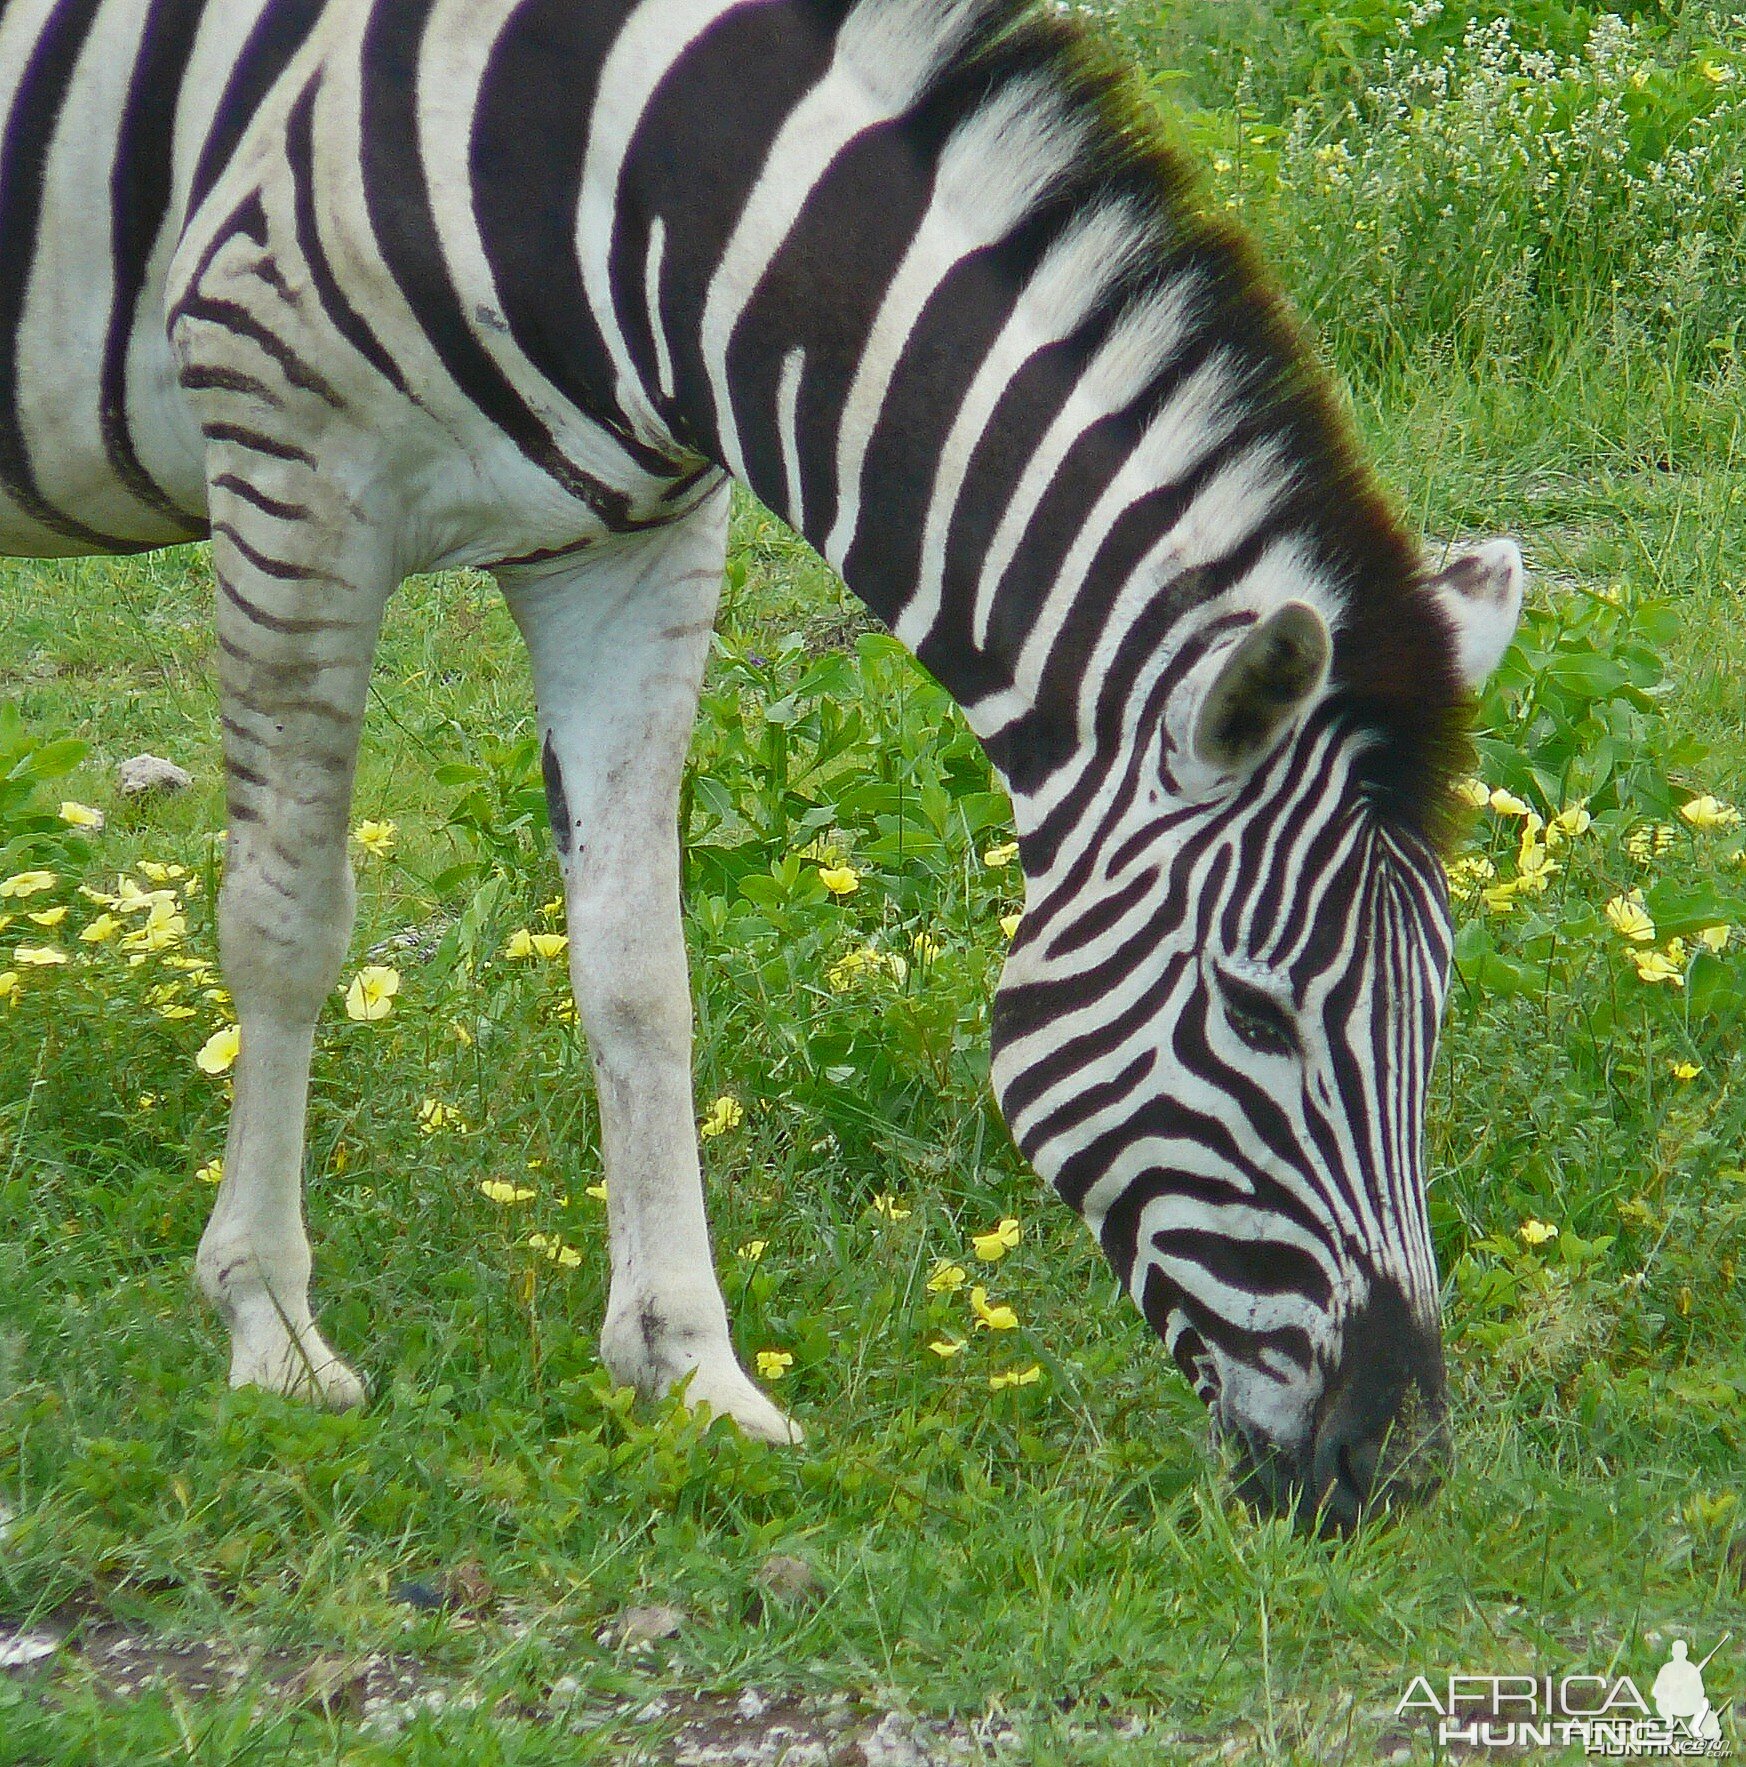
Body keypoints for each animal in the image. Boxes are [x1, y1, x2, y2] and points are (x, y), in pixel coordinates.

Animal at [0, 0, 1526, 1526]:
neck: (635, 177)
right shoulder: (296, 459)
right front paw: (267, 1324)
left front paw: (689, 1368)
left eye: (1437, 1013)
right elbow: (287, 925)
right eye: (1257, 1018)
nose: (1397, 1466)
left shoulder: (630, 544)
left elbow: (638, 969)